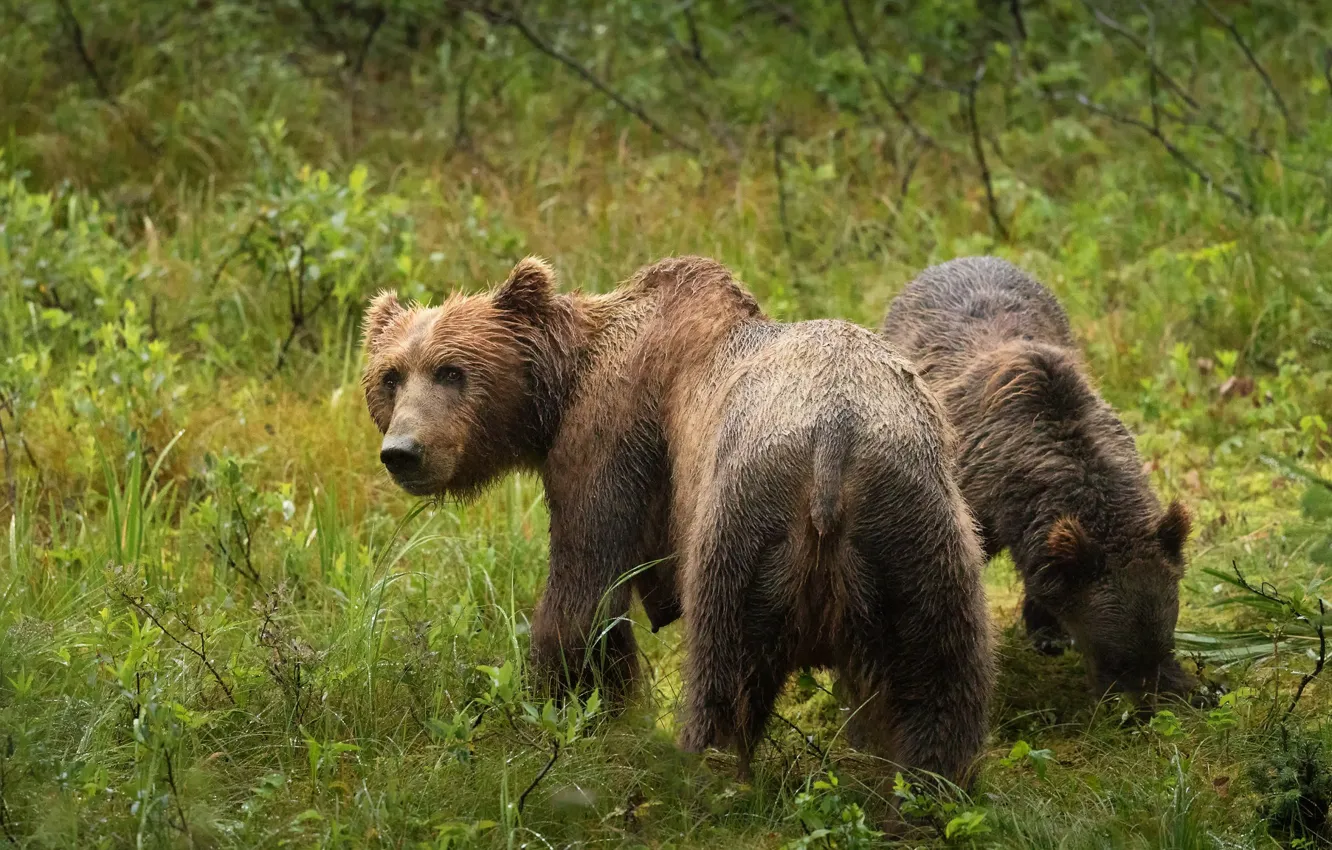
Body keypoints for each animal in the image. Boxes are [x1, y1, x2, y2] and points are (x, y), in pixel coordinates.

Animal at [359, 254, 996, 788]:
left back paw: (705, 769)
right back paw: (932, 782)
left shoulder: (613, 433)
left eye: (451, 371)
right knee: (938, 674)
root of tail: (835, 442)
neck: (561, 389)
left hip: (745, 517)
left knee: (724, 665)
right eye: (391, 375)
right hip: (915, 525)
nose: (404, 451)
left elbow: (587, 589)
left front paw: (563, 709)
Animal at [884, 258, 1198, 703]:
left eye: (1166, 643)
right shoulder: (975, 502)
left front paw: (1048, 630)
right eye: (1117, 656)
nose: (1149, 705)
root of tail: (959, 259)